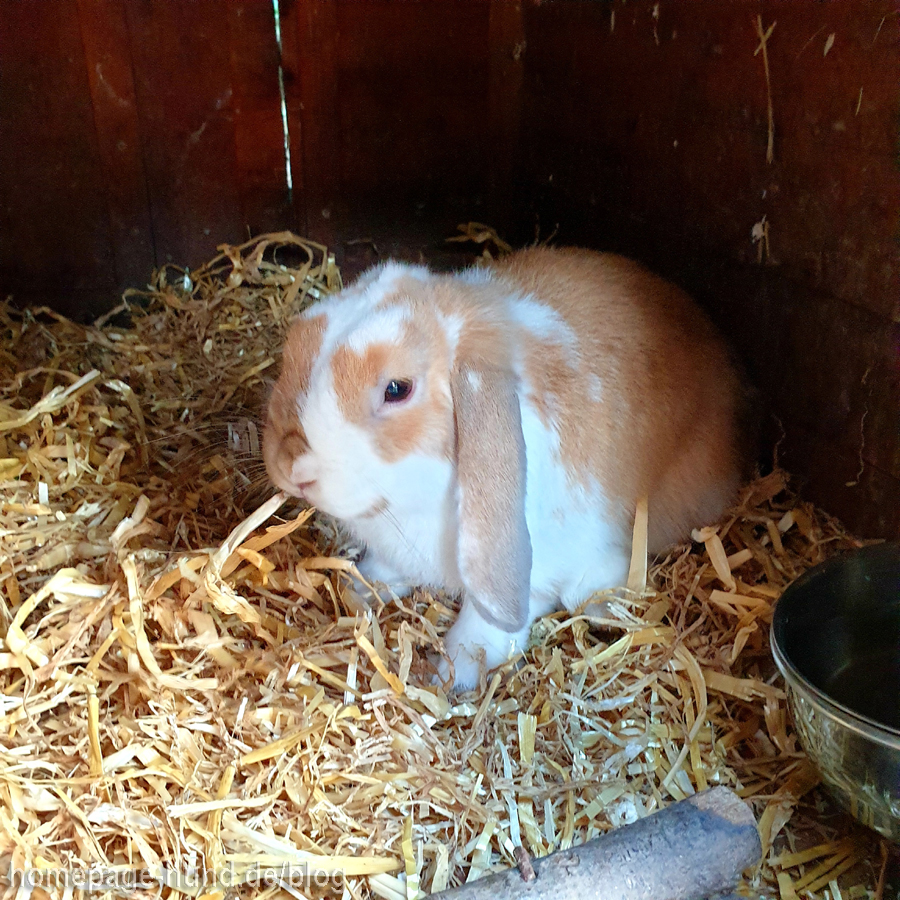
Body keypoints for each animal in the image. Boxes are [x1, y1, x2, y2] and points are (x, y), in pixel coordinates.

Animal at [264, 246, 748, 688]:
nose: (292, 466)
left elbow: (485, 628)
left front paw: (447, 675)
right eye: (291, 349)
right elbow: (385, 569)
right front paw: (358, 589)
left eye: (397, 389)